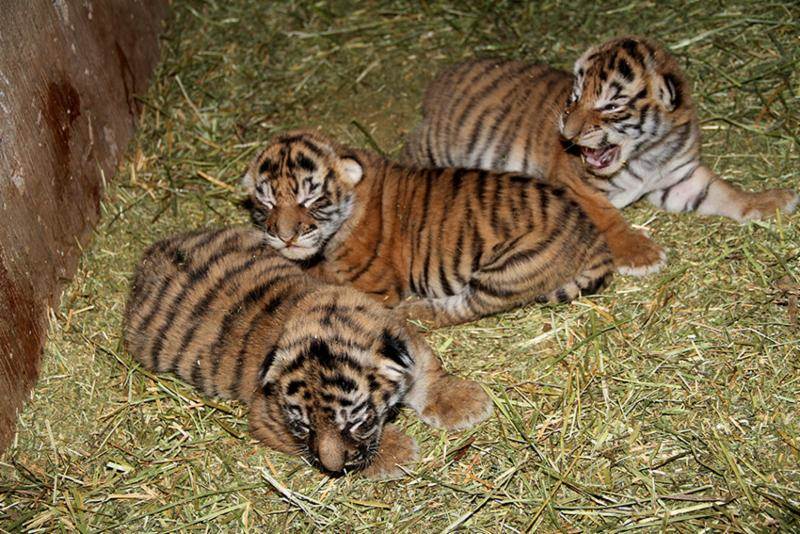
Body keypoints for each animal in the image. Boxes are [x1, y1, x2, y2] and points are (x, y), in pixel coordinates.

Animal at [123, 227, 493, 479]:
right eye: (303, 427)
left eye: (357, 422)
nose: (333, 468)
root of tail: (149, 258)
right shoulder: (266, 419)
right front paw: (395, 451)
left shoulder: (404, 338)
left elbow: (429, 372)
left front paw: (464, 400)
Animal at [241, 130, 614, 328]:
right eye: (267, 203)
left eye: (311, 198)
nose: (285, 236)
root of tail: (591, 233)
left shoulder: (375, 287)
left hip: (511, 266)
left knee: (465, 306)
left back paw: (414, 311)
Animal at [403, 36, 798, 276]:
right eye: (575, 97)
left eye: (610, 105)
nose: (568, 132)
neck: (649, 155)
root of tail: (441, 79)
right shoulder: (574, 184)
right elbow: (607, 216)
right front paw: (641, 254)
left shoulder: (681, 178)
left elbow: (725, 192)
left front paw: (769, 201)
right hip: (434, 146)